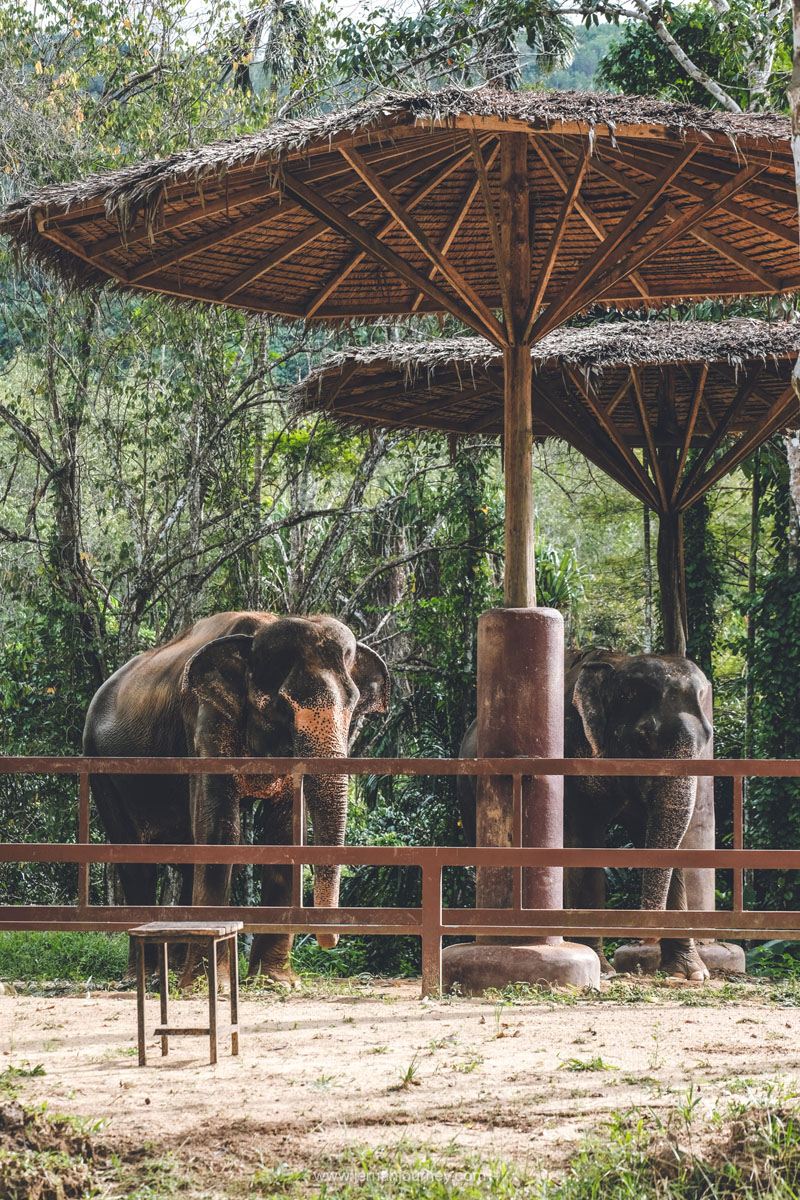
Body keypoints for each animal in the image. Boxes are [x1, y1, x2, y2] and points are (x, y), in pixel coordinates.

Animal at [82, 609, 388, 984]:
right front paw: (207, 983)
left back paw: (174, 968)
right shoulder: (205, 720)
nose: (328, 942)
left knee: (185, 855)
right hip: (100, 765)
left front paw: (274, 981)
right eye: (281, 706)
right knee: (135, 861)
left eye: (354, 704)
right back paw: (146, 977)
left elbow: (284, 836)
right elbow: (219, 829)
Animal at [455, 648, 714, 984]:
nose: (646, 936)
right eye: (643, 739)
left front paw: (690, 974)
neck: (615, 664)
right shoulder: (570, 757)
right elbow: (584, 841)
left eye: (707, 738)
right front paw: (602, 970)